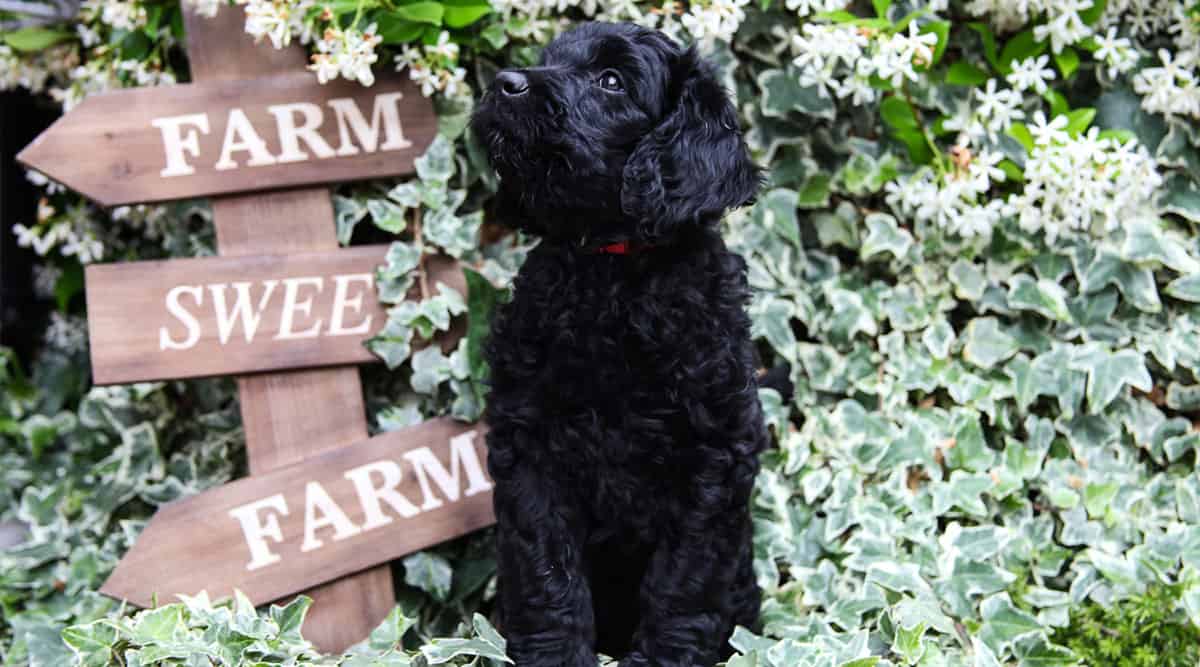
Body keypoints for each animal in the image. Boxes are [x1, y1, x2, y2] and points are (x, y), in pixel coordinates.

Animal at [470, 20, 763, 667]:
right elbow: (546, 570)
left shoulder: (712, 461)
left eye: (611, 81)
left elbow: (682, 585)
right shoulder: (530, 448)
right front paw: (554, 655)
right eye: (550, 58)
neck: (610, 272)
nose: (504, 84)